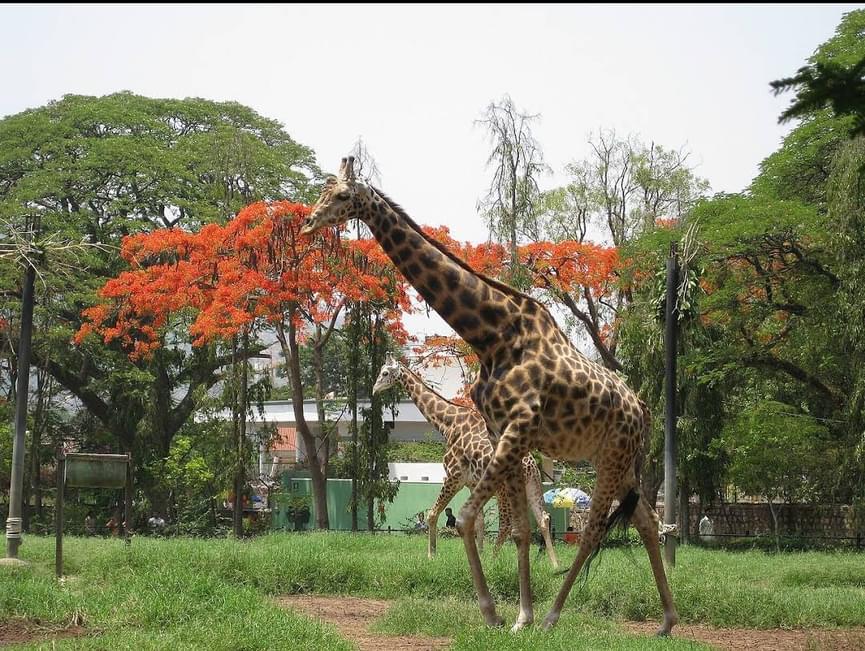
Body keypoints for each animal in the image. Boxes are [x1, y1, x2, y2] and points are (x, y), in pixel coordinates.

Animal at [372, 356, 560, 572]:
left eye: (385, 372)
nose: (374, 389)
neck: (447, 424)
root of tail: (531, 465)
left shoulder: (454, 476)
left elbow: (432, 514)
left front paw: (431, 556)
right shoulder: (471, 483)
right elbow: (478, 522)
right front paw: (479, 555)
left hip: (503, 489)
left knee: (507, 523)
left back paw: (494, 561)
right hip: (532, 484)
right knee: (543, 518)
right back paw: (554, 564)